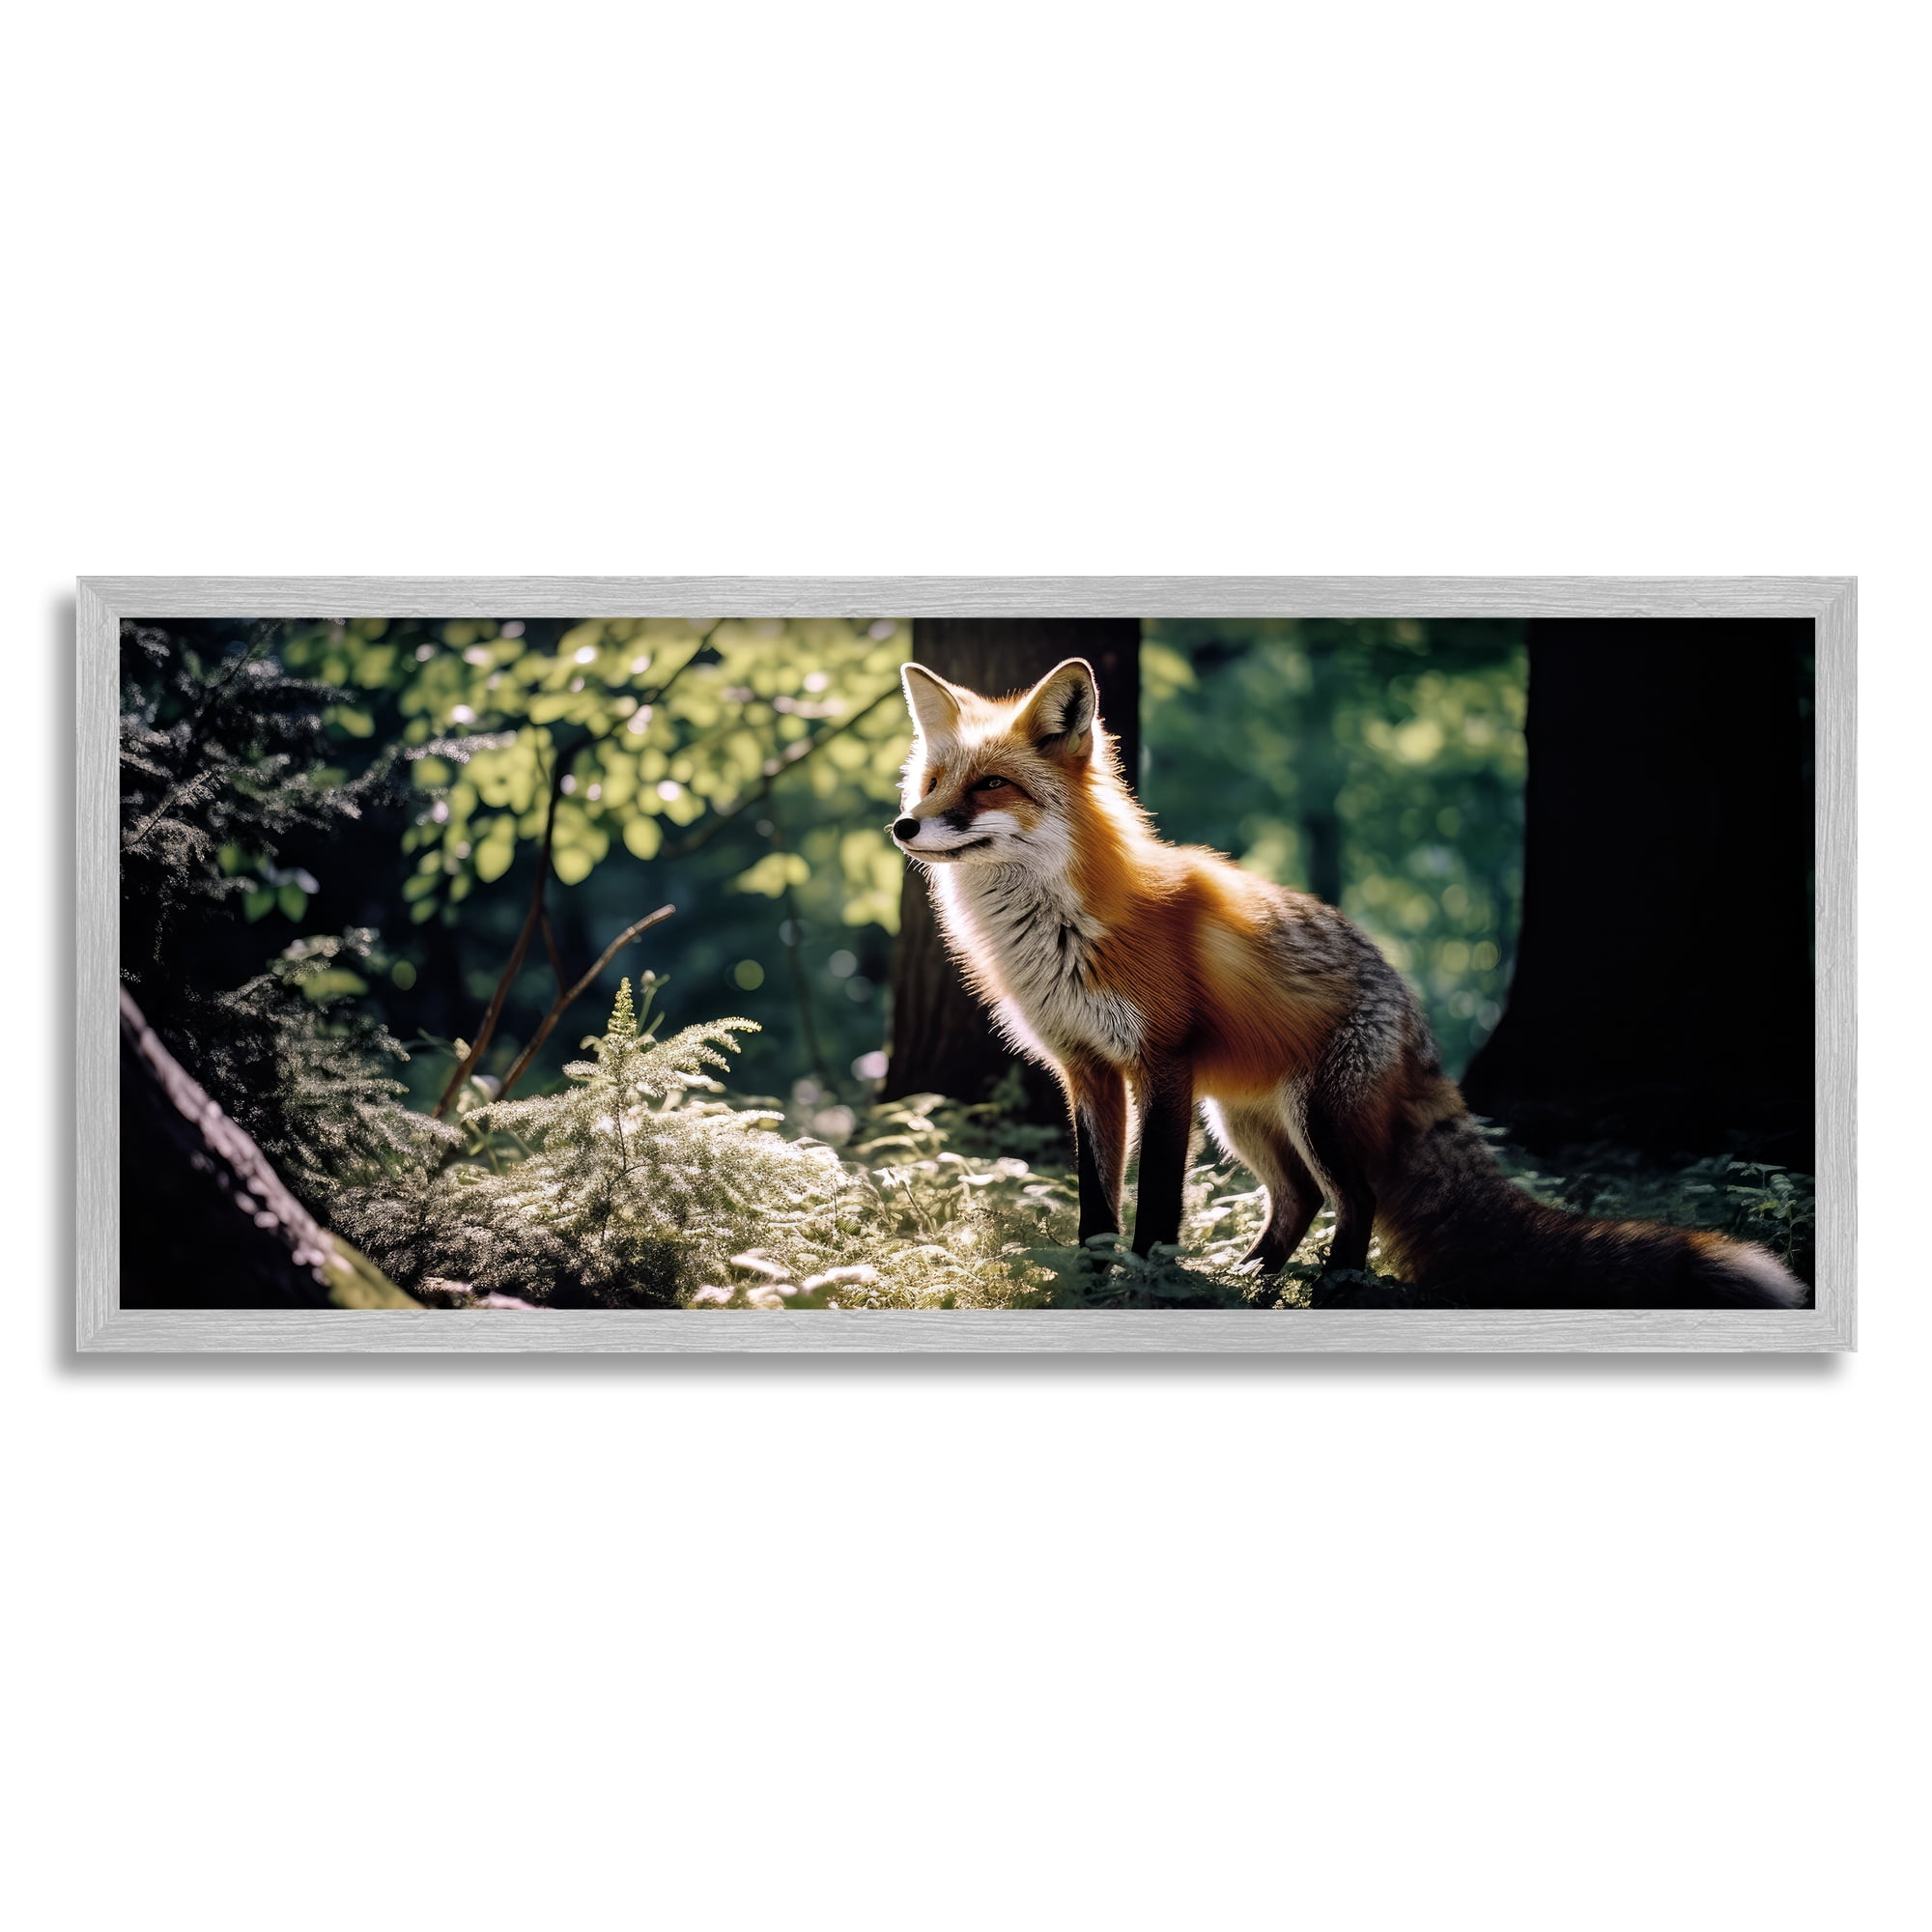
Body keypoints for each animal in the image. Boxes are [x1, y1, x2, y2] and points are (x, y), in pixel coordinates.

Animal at [889, 656, 1807, 1309]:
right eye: (931, 785)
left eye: (991, 785)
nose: (903, 825)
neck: (1061, 931)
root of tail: (1408, 1002)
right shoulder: (1087, 1072)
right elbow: (1095, 1211)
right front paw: (1090, 1291)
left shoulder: (1163, 1064)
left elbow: (1154, 1210)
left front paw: (1150, 1288)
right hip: (1245, 1118)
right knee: (1297, 1202)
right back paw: (1252, 1280)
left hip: (1314, 1115)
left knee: (1353, 1201)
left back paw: (1329, 1290)